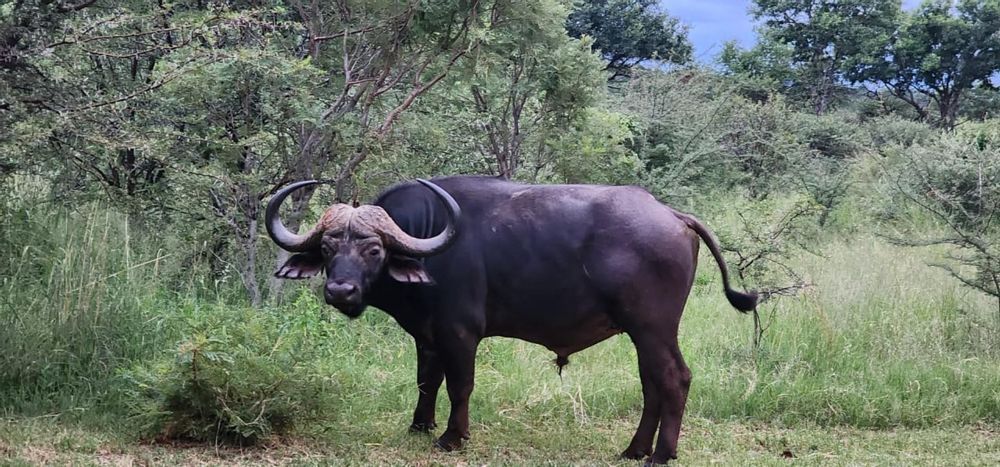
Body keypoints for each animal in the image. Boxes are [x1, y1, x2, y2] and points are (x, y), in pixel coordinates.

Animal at [265, 176, 756, 464]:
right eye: (328, 248)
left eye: (373, 249)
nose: (340, 291)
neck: (426, 239)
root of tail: (673, 214)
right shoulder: (427, 335)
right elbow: (427, 380)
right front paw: (419, 425)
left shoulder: (460, 332)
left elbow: (460, 385)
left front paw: (452, 436)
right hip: (641, 333)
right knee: (652, 384)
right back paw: (635, 450)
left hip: (654, 327)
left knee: (675, 378)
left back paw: (660, 455)